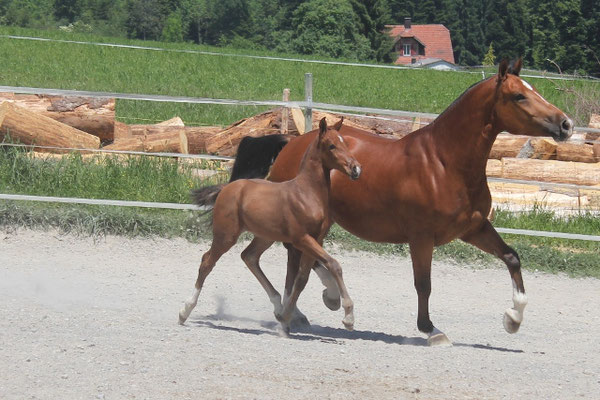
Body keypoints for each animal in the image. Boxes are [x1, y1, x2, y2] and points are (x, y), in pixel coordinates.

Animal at [179, 117, 360, 332]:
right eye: (332, 145)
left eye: (345, 143)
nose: (356, 169)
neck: (306, 193)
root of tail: (228, 187)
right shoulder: (301, 239)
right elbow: (333, 265)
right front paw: (348, 317)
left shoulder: (316, 239)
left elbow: (302, 278)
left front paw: (287, 317)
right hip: (226, 235)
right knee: (207, 262)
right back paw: (185, 311)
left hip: (265, 237)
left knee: (249, 257)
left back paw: (278, 308)